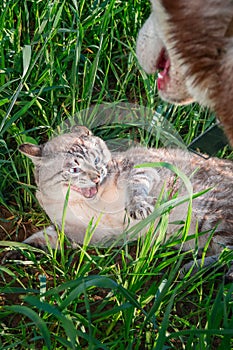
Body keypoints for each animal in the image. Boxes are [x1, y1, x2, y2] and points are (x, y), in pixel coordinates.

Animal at [11, 126, 233, 276]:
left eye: (96, 161)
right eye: (74, 169)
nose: (97, 176)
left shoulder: (142, 168)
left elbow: (136, 187)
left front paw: (139, 206)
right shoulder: (82, 235)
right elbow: (40, 239)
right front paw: (17, 254)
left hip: (213, 218)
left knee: (228, 255)